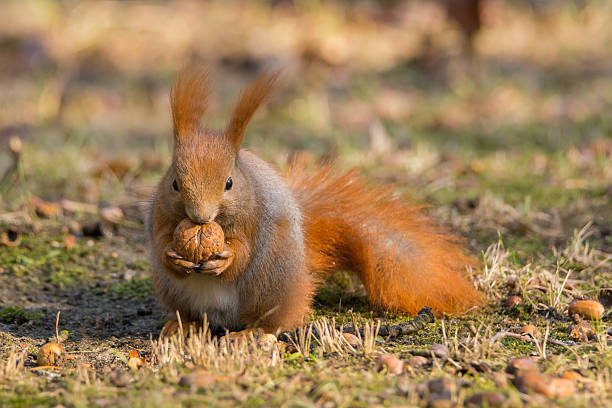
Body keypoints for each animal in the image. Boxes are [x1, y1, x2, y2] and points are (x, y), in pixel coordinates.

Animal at [145, 67, 482, 334]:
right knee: (191, 314)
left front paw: (224, 257)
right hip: (174, 293)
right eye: (175, 183)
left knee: (274, 322)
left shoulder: (255, 216)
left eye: (229, 183)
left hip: (271, 283)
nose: (200, 217)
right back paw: (182, 327)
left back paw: (251, 335)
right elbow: (161, 239)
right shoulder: (160, 213)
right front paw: (173, 255)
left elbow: (243, 252)